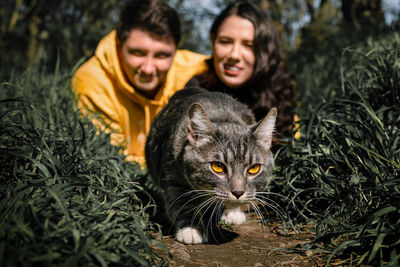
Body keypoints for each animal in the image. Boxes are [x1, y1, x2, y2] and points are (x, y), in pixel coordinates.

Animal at [145, 87, 278, 245]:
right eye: (218, 167)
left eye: (254, 168)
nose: (238, 192)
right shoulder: (172, 177)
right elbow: (182, 203)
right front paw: (191, 229)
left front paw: (233, 212)